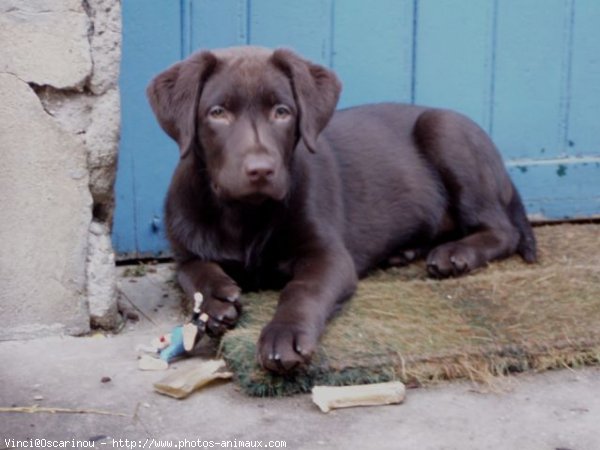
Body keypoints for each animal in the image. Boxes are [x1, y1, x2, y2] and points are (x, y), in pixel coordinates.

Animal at [148, 47, 536, 374]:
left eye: (282, 112)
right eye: (217, 113)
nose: (261, 170)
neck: (245, 215)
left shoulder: (328, 256)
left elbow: (302, 290)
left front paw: (285, 334)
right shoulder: (184, 252)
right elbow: (194, 272)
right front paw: (214, 299)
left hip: (445, 131)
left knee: (503, 230)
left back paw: (455, 255)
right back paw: (404, 251)